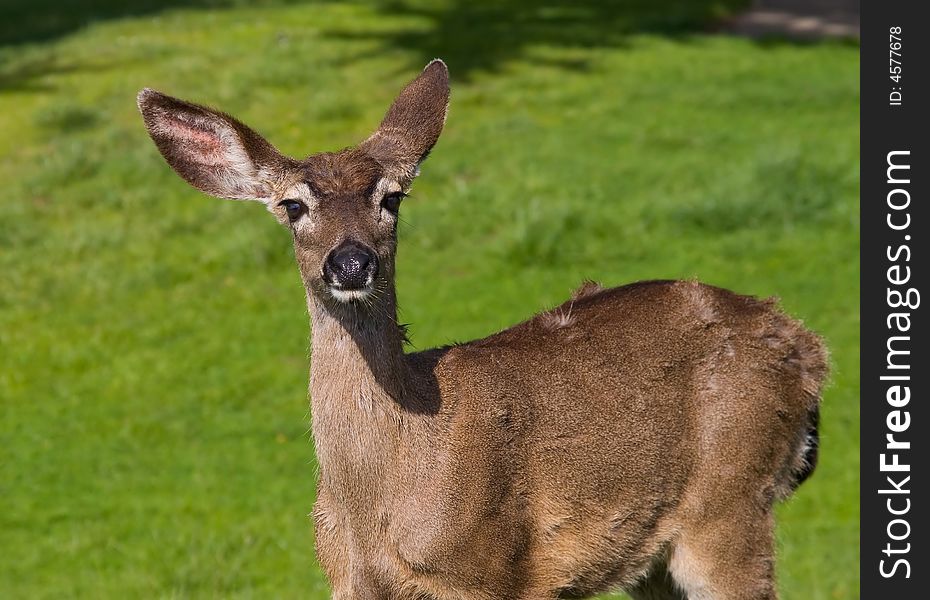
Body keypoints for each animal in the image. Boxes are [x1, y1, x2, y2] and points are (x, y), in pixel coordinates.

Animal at [138, 59, 828, 600]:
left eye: (392, 197)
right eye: (292, 205)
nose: (351, 262)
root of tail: (806, 348)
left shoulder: (492, 569)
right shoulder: (348, 582)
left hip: (728, 502)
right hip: (656, 554)